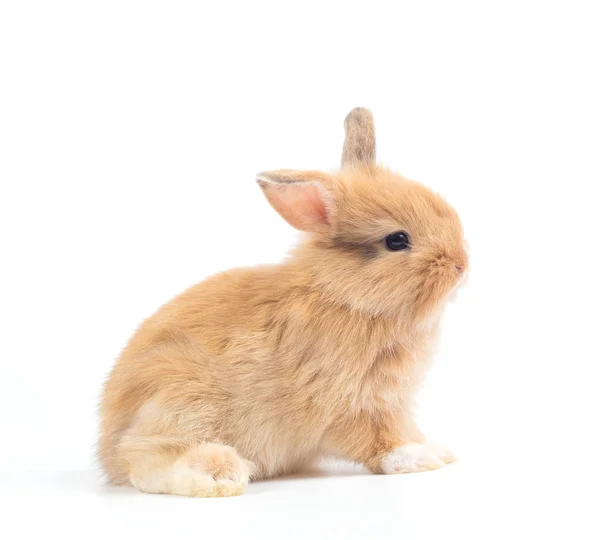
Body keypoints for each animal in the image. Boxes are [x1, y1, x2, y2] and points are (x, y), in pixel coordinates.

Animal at [98, 108, 468, 498]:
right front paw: (416, 457)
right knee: (143, 458)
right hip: (179, 399)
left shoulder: (394, 403)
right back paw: (219, 472)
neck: (345, 297)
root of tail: (106, 451)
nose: (461, 265)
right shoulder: (352, 404)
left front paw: (437, 449)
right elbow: (379, 440)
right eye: (397, 240)